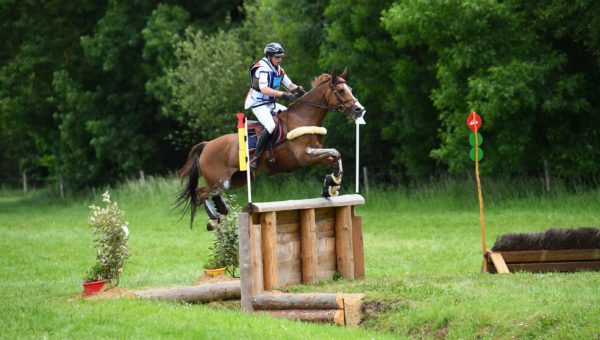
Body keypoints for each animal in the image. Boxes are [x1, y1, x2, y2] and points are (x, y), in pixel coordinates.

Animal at [177, 67, 366, 228]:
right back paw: (214, 218)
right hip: (220, 180)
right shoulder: (305, 157)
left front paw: (332, 185)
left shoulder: (315, 154)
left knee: (210, 193)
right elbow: (335, 153)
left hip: (238, 179)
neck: (304, 118)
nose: (359, 110)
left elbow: (336, 156)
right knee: (200, 193)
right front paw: (332, 184)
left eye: (349, 88)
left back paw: (221, 213)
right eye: (341, 91)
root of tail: (207, 145)